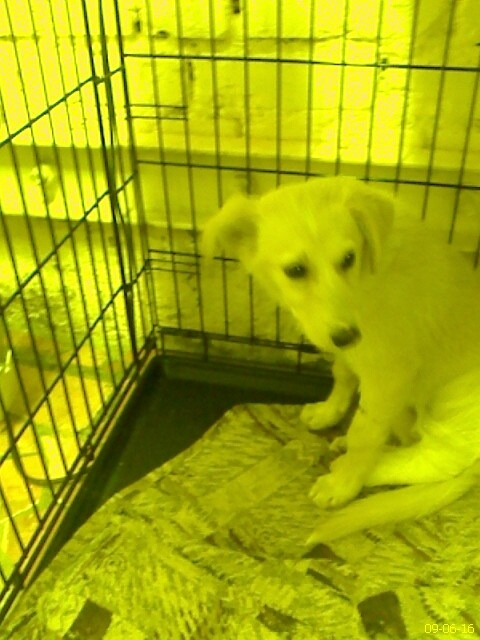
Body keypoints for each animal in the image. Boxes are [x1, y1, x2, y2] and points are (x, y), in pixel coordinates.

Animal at [202, 176, 480, 543]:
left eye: (349, 258)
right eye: (296, 270)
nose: (348, 336)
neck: (368, 278)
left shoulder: (389, 372)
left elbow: (365, 431)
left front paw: (344, 484)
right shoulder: (349, 347)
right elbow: (343, 376)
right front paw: (328, 412)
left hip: (456, 401)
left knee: (435, 461)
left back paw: (367, 466)